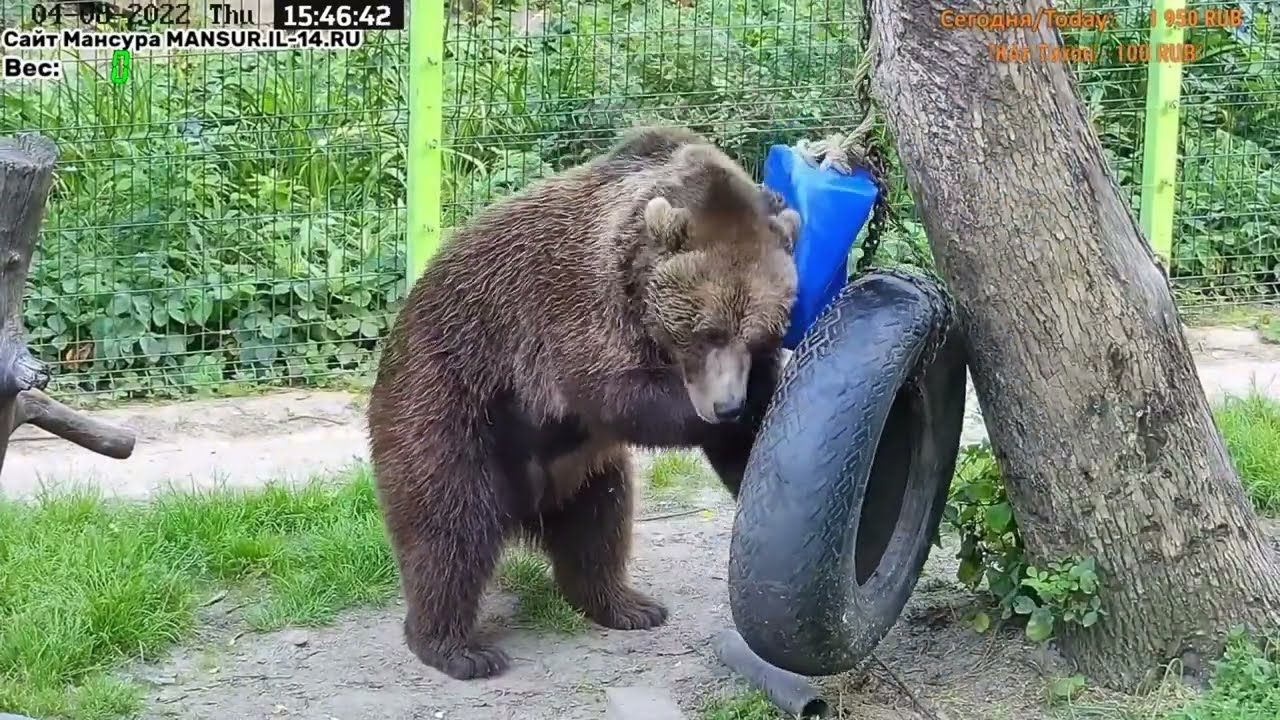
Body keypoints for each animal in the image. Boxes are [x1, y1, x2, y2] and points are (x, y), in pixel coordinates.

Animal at [365, 125, 803, 681]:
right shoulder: (570, 305)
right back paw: (455, 647)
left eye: (758, 335)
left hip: (581, 471)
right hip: (448, 405)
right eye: (708, 332)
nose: (725, 406)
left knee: (600, 524)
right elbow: (611, 391)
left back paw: (625, 604)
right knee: (450, 529)